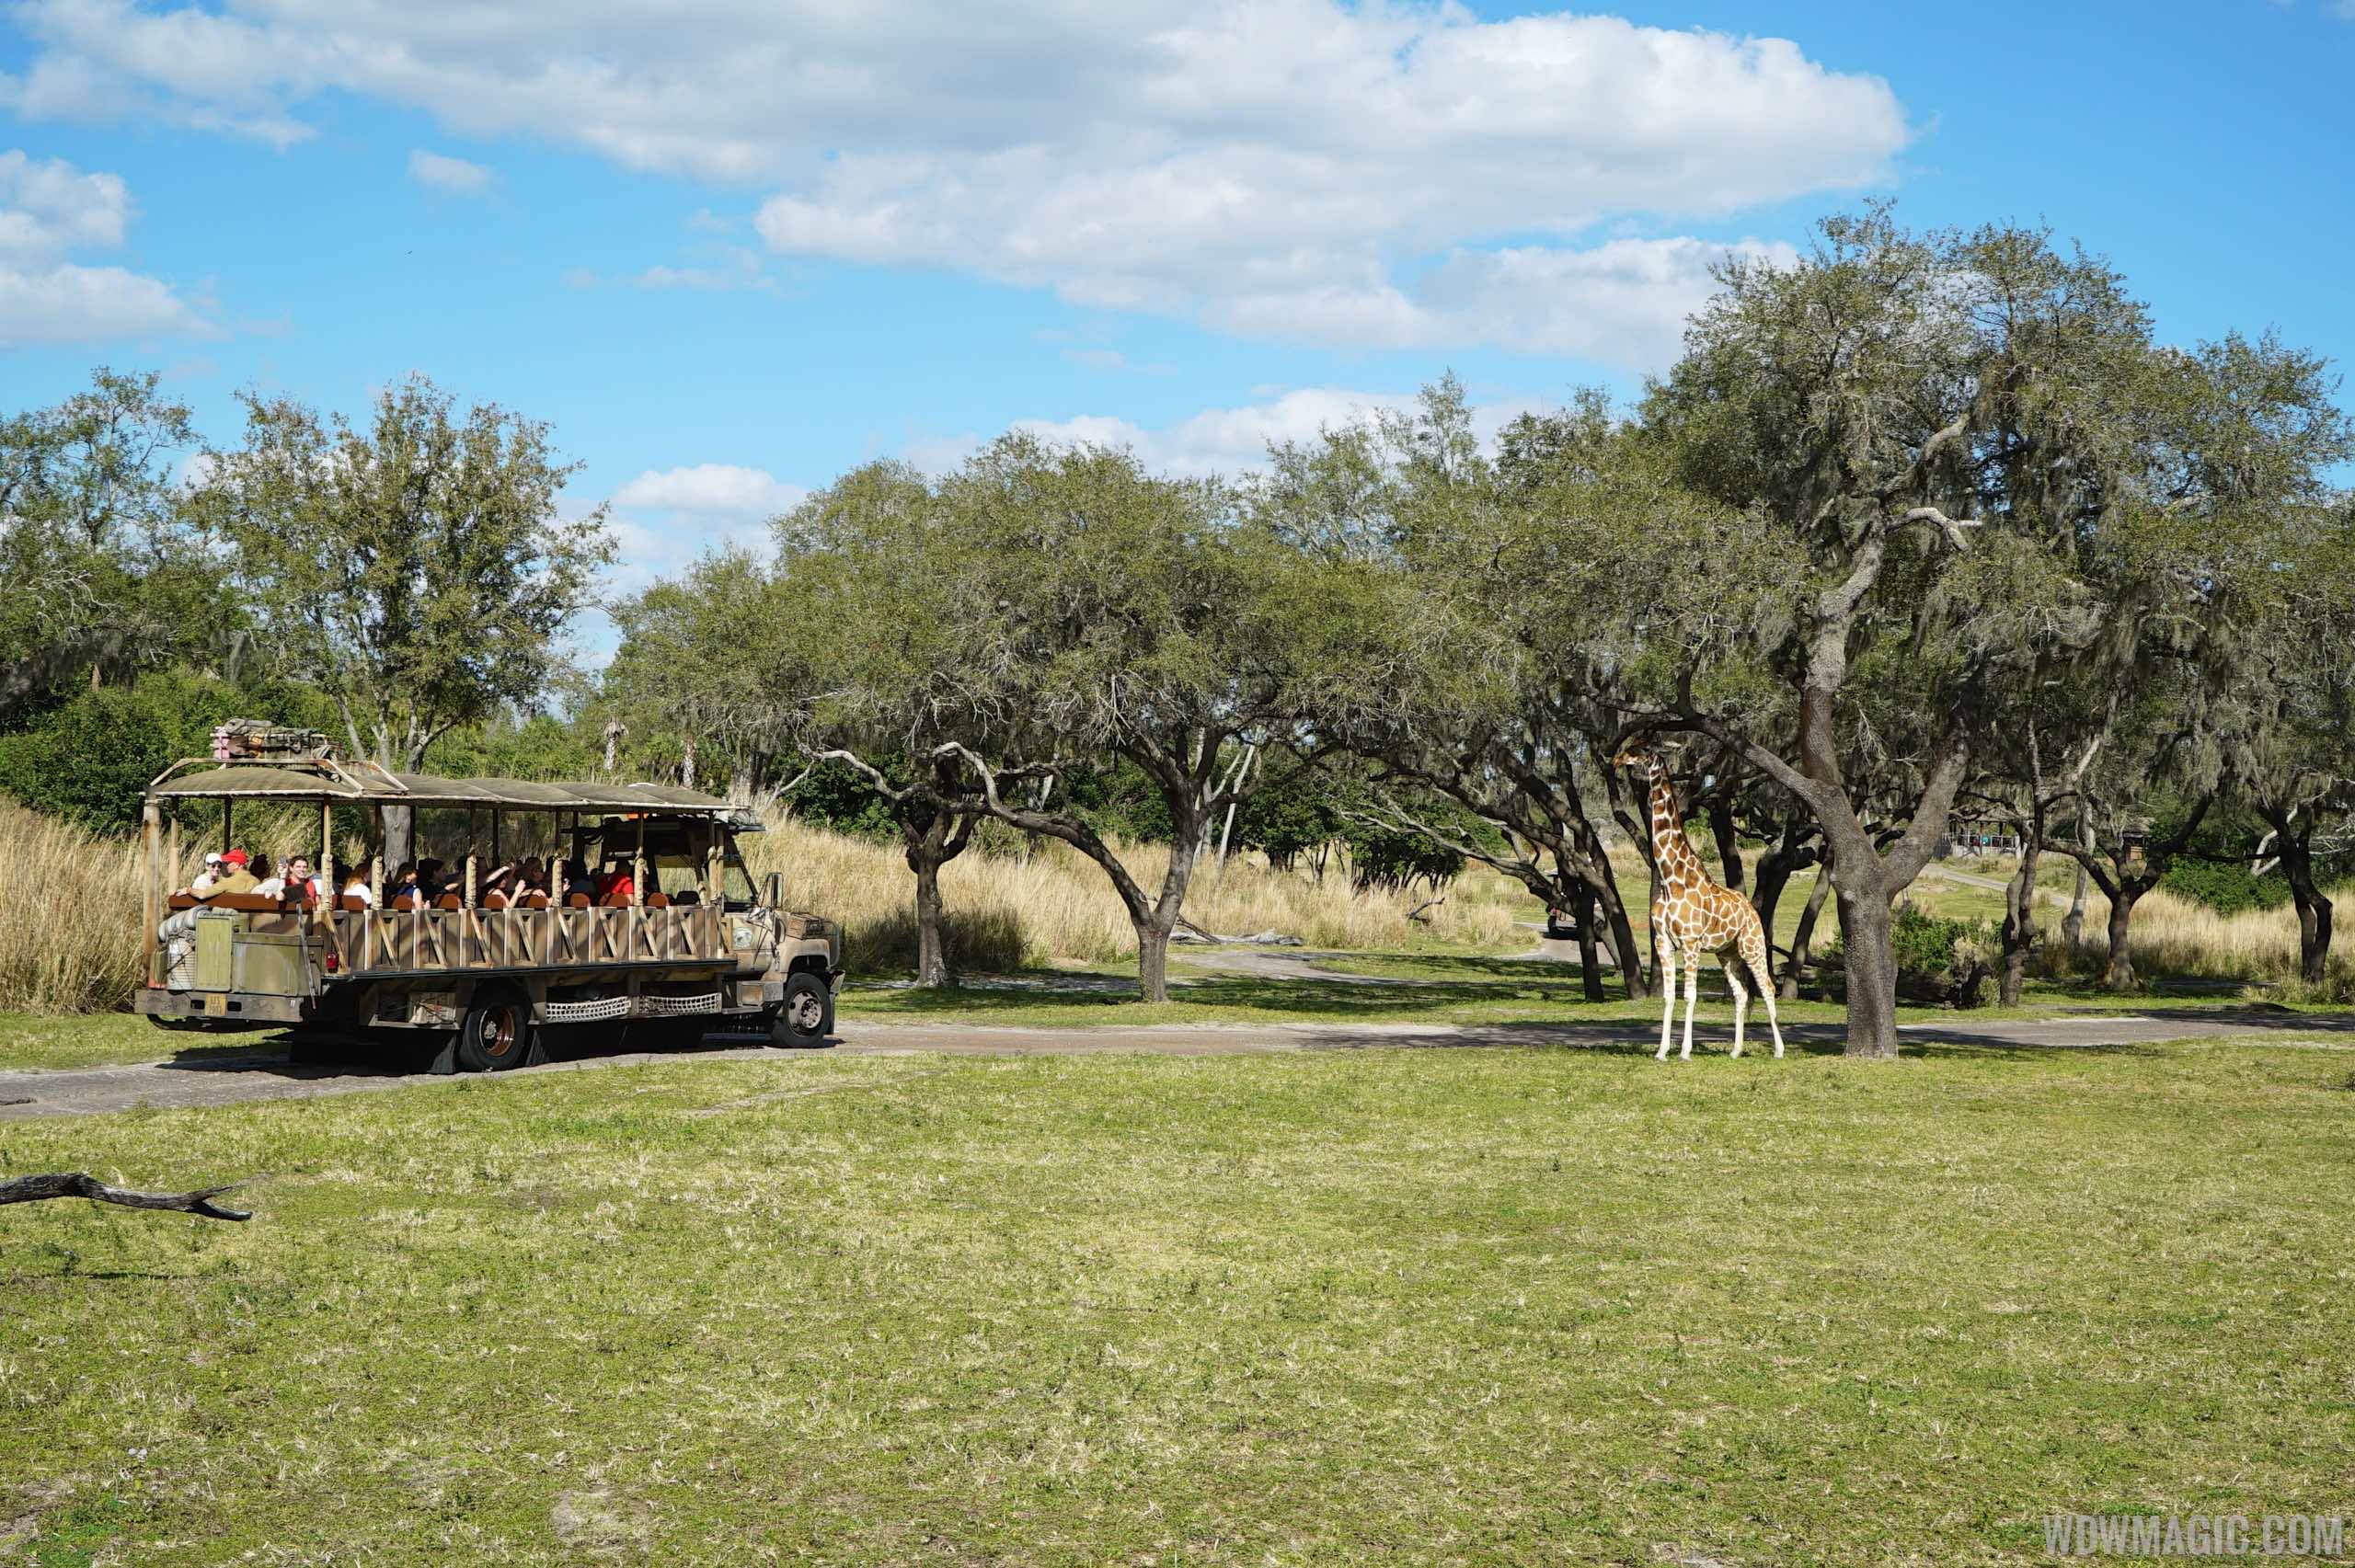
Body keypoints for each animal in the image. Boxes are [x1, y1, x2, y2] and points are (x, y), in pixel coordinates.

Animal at [1620, 738, 1780, 1054]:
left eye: (1642, 749)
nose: (1618, 759)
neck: (1671, 879)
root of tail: (1752, 910)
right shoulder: (1663, 942)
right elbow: (1669, 996)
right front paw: (1661, 1052)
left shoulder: (1690, 942)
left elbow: (1690, 996)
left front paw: (1684, 1051)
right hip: (1726, 952)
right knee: (1741, 993)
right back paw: (1735, 1050)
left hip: (1752, 946)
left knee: (1768, 987)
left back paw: (1779, 1050)